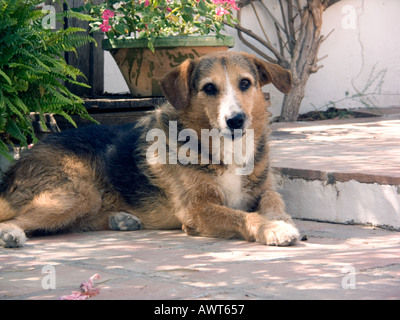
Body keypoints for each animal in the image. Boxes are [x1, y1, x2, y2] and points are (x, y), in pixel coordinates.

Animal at [0, 52, 300, 248]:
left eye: (245, 83)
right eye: (209, 88)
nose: (236, 120)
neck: (224, 148)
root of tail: (21, 160)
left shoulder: (264, 188)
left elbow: (273, 199)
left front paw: (279, 218)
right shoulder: (197, 211)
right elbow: (244, 216)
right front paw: (273, 227)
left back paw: (120, 220)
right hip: (78, 194)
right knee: (13, 219)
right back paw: (10, 235)